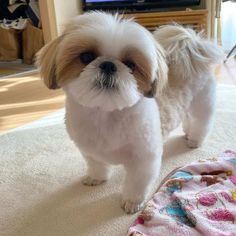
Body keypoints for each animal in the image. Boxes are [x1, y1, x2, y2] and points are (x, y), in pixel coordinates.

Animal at [36, 11, 224, 214]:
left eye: (130, 65)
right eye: (86, 56)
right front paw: (96, 178)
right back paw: (188, 133)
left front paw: (132, 202)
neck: (105, 114)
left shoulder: (144, 158)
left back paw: (194, 140)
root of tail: (194, 47)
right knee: (187, 118)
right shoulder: (89, 150)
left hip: (202, 103)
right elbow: (96, 165)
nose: (109, 65)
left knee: (201, 122)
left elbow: (137, 182)